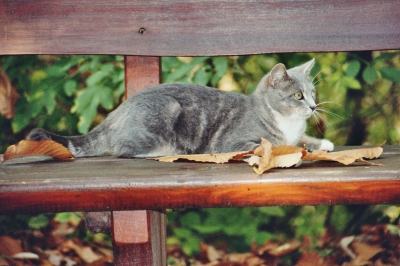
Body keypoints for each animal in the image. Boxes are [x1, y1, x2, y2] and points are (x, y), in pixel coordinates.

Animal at [26, 58, 334, 158]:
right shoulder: (233, 142)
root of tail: (117, 112)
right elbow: (277, 144)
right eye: (298, 95)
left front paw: (321, 143)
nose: (313, 106)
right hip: (165, 113)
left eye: (312, 93)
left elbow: (303, 140)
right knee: (123, 149)